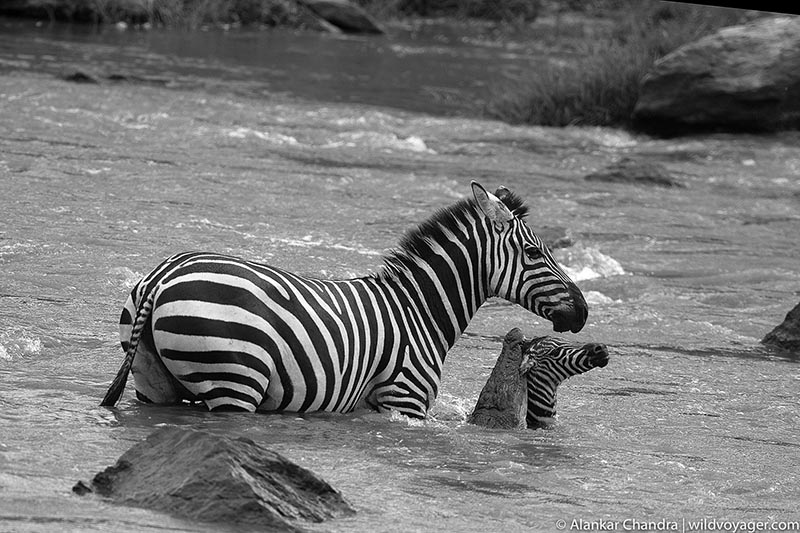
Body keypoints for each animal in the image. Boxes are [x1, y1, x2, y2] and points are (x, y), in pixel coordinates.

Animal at [101, 181, 588, 419]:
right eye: (534, 253)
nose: (583, 312)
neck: (420, 310)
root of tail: (163, 276)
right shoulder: (403, 400)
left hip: (153, 382)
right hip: (233, 381)